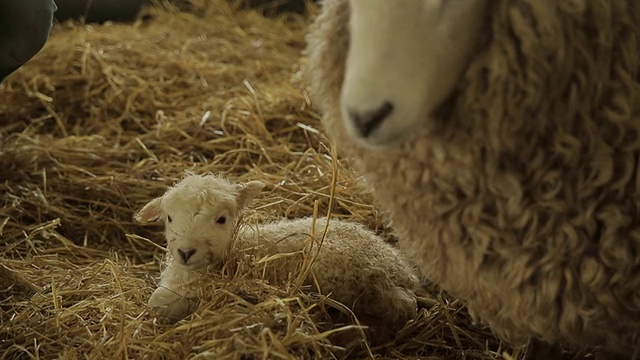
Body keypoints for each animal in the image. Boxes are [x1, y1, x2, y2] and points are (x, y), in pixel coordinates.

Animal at [134, 173, 420, 338]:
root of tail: (400, 268)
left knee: (404, 307)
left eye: (221, 219)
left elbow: (157, 303)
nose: (185, 252)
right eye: (169, 218)